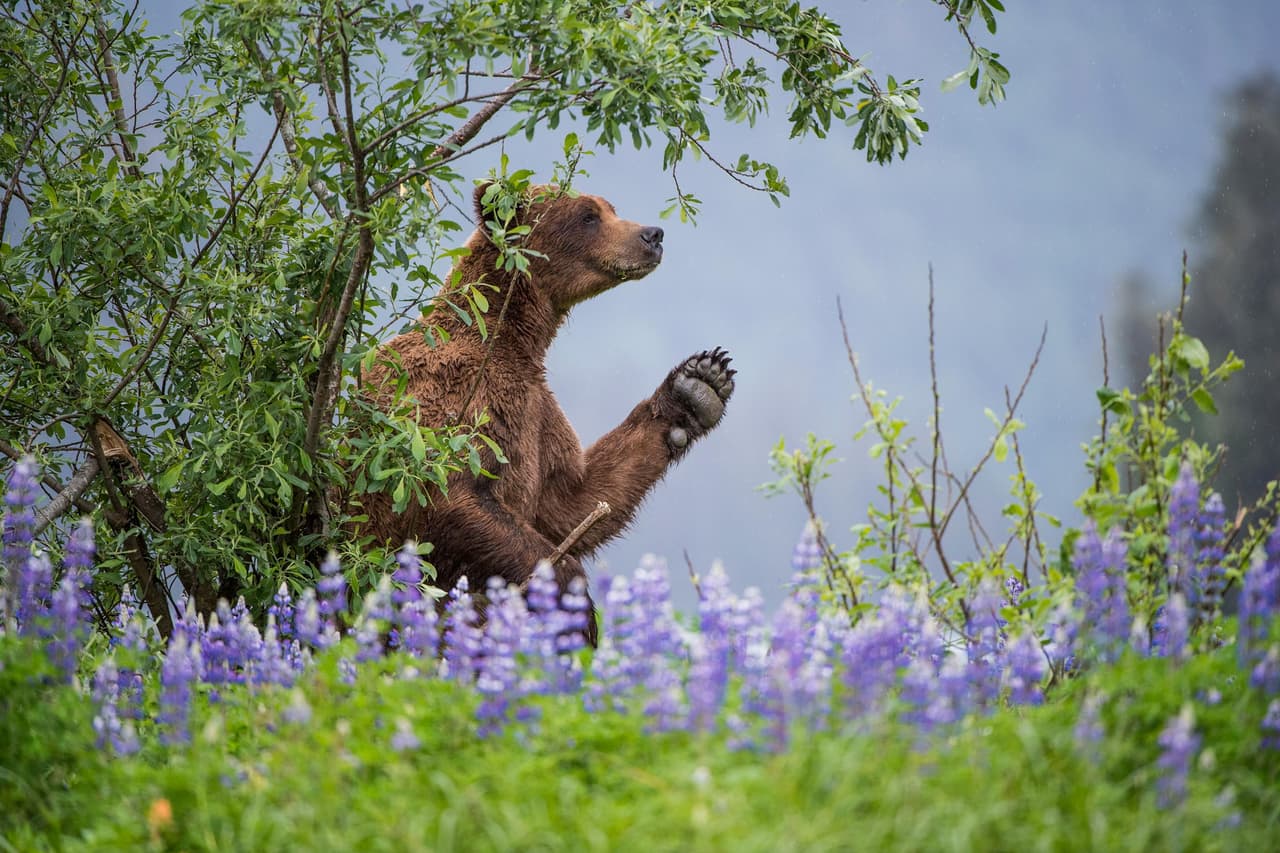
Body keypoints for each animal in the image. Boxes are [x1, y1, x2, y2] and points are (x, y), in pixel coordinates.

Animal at [353, 183, 736, 643]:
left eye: (610, 209)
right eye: (588, 216)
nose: (652, 235)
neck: (510, 340)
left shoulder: (538, 415)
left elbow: (572, 503)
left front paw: (698, 385)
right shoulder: (452, 391)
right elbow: (443, 489)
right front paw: (575, 603)